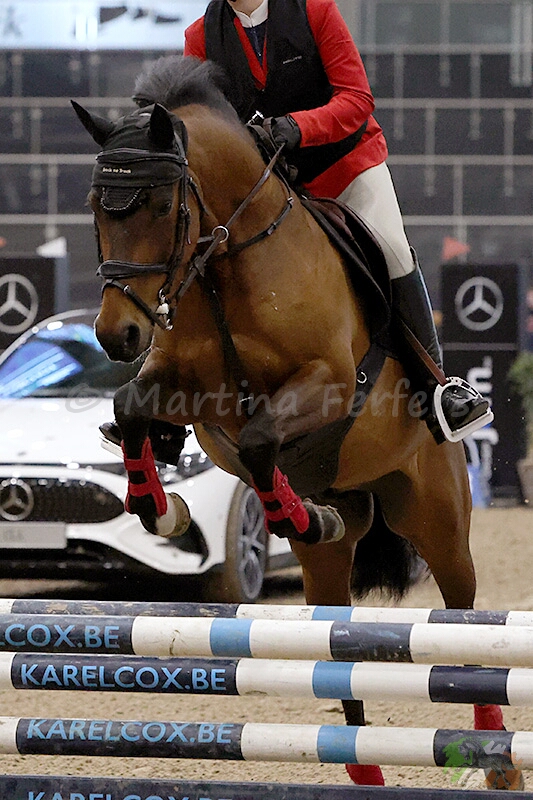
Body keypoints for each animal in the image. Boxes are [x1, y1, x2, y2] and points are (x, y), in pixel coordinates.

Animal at [72, 55, 521, 790]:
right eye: (95, 208)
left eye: (163, 205)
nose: (117, 335)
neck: (225, 263)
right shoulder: (189, 395)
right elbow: (130, 408)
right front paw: (160, 510)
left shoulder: (328, 383)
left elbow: (260, 439)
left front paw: (293, 514)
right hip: (331, 565)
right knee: (337, 641)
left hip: (437, 518)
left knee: (464, 624)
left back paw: (495, 757)